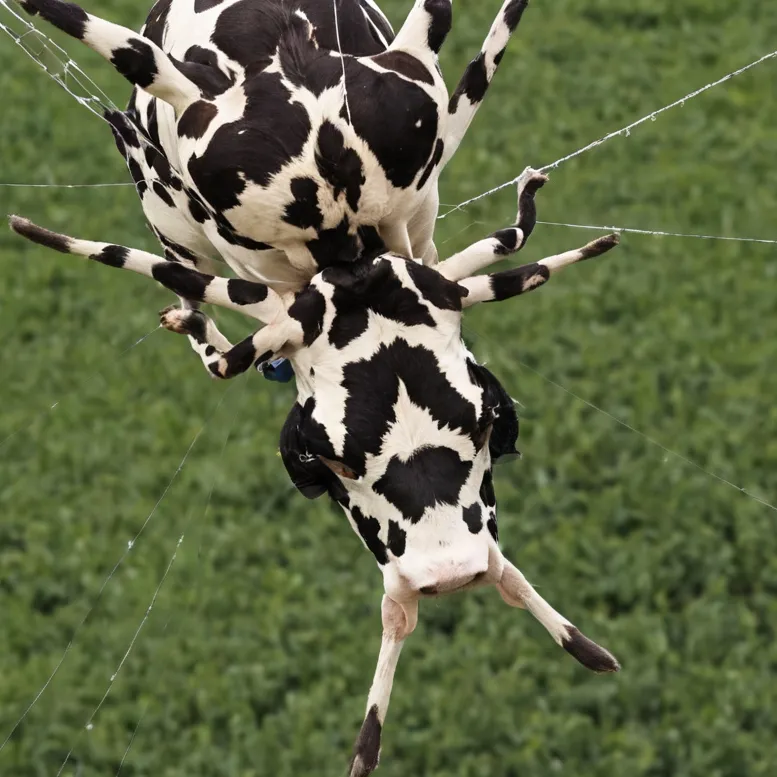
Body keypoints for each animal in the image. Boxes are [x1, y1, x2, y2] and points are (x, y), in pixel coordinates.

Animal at [10, 168, 622, 776]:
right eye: (322, 458)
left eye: (494, 421)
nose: (448, 576)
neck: (357, 277)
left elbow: (518, 253)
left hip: (441, 556)